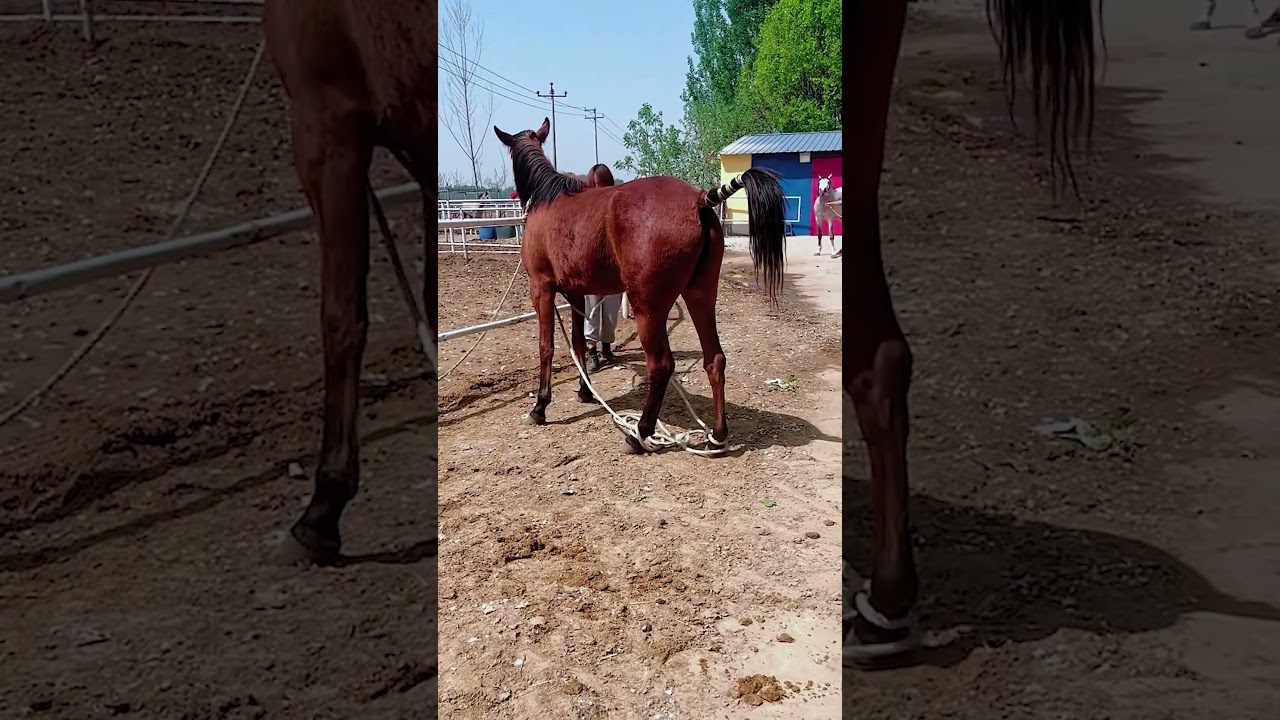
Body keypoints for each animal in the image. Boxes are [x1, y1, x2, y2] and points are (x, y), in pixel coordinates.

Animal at [494, 118, 786, 454]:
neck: (548, 199)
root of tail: (699, 199)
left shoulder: (541, 288)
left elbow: (547, 347)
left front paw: (540, 407)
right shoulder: (577, 294)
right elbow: (579, 345)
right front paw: (585, 391)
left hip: (647, 306)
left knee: (661, 365)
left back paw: (639, 433)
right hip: (700, 295)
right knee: (715, 359)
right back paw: (716, 435)